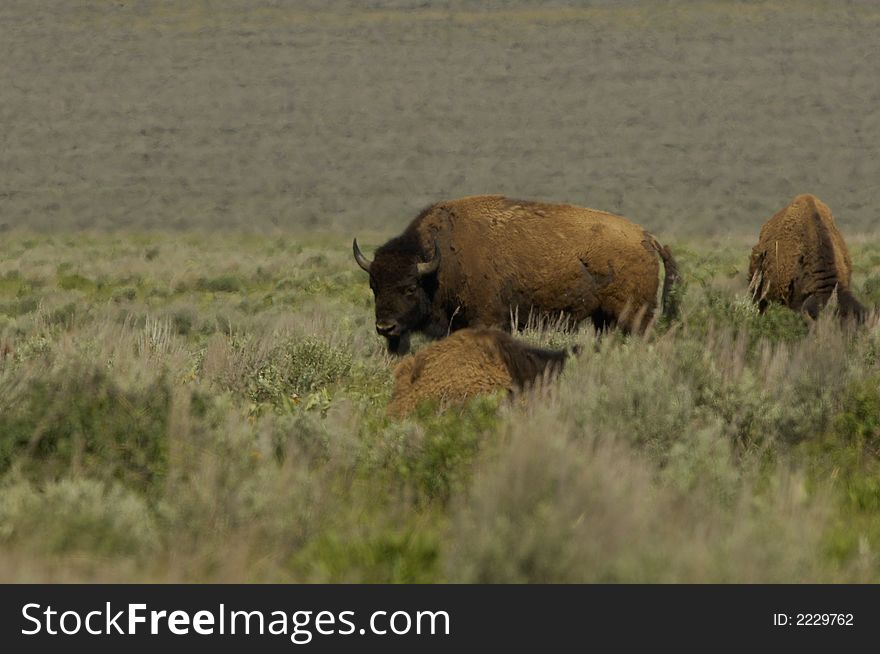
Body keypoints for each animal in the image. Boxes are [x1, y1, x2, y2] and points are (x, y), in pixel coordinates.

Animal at [352, 195, 680, 356]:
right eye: (374, 287)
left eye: (409, 287)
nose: (385, 327)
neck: (441, 260)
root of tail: (646, 237)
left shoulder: (487, 320)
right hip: (604, 319)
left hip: (634, 317)